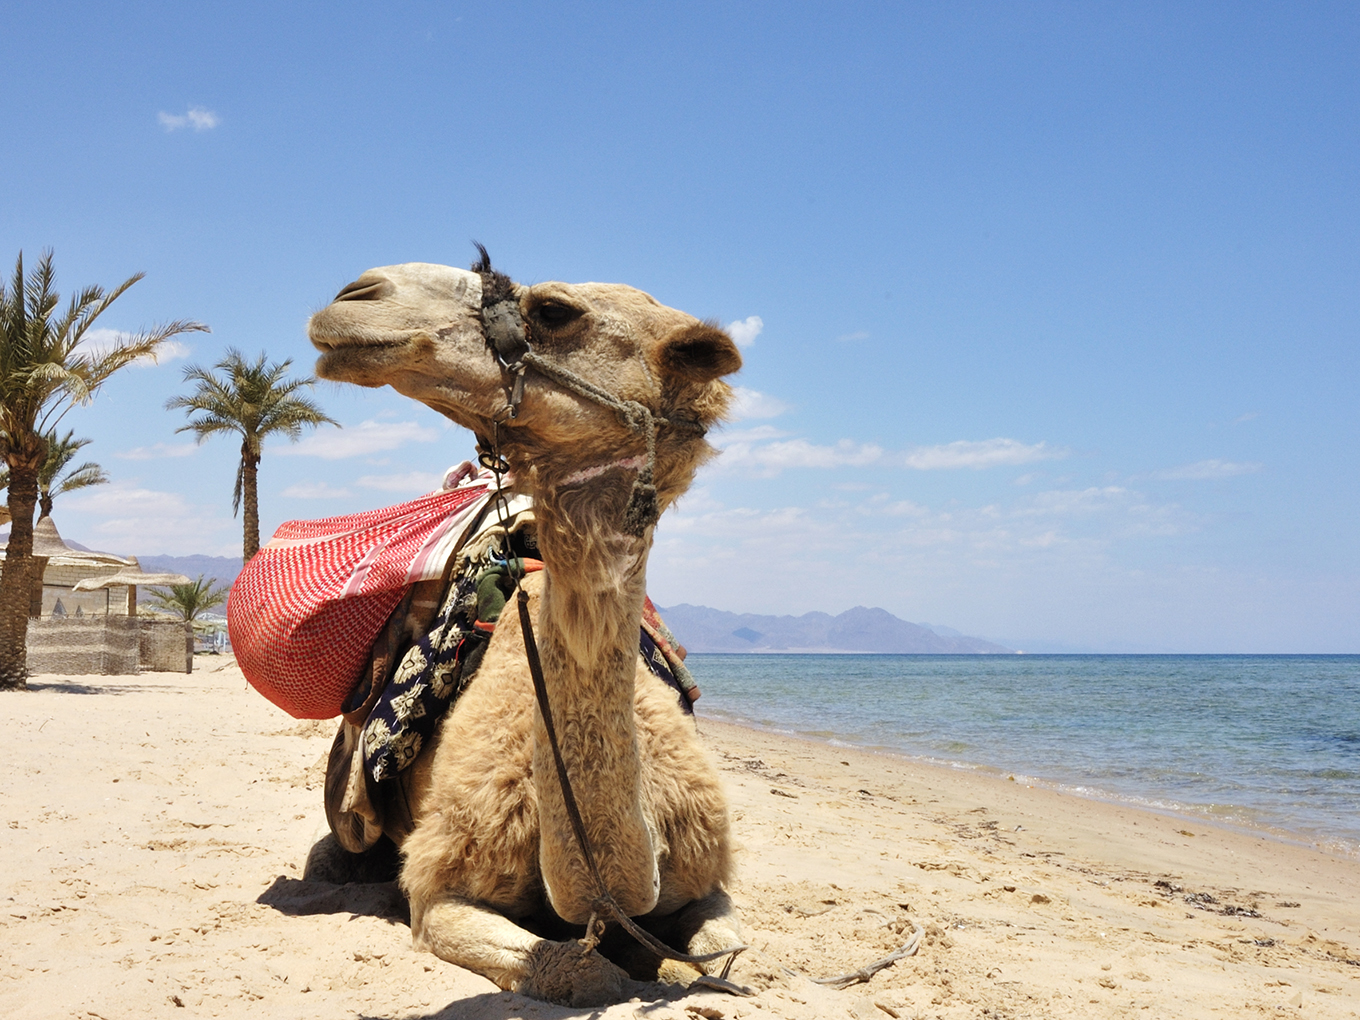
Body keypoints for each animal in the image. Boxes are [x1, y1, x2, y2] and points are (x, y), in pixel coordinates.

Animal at [306, 255, 745, 1006]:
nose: (357, 295)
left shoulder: (708, 875)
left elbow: (735, 958)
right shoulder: (440, 883)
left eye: (555, 311)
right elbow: (580, 971)